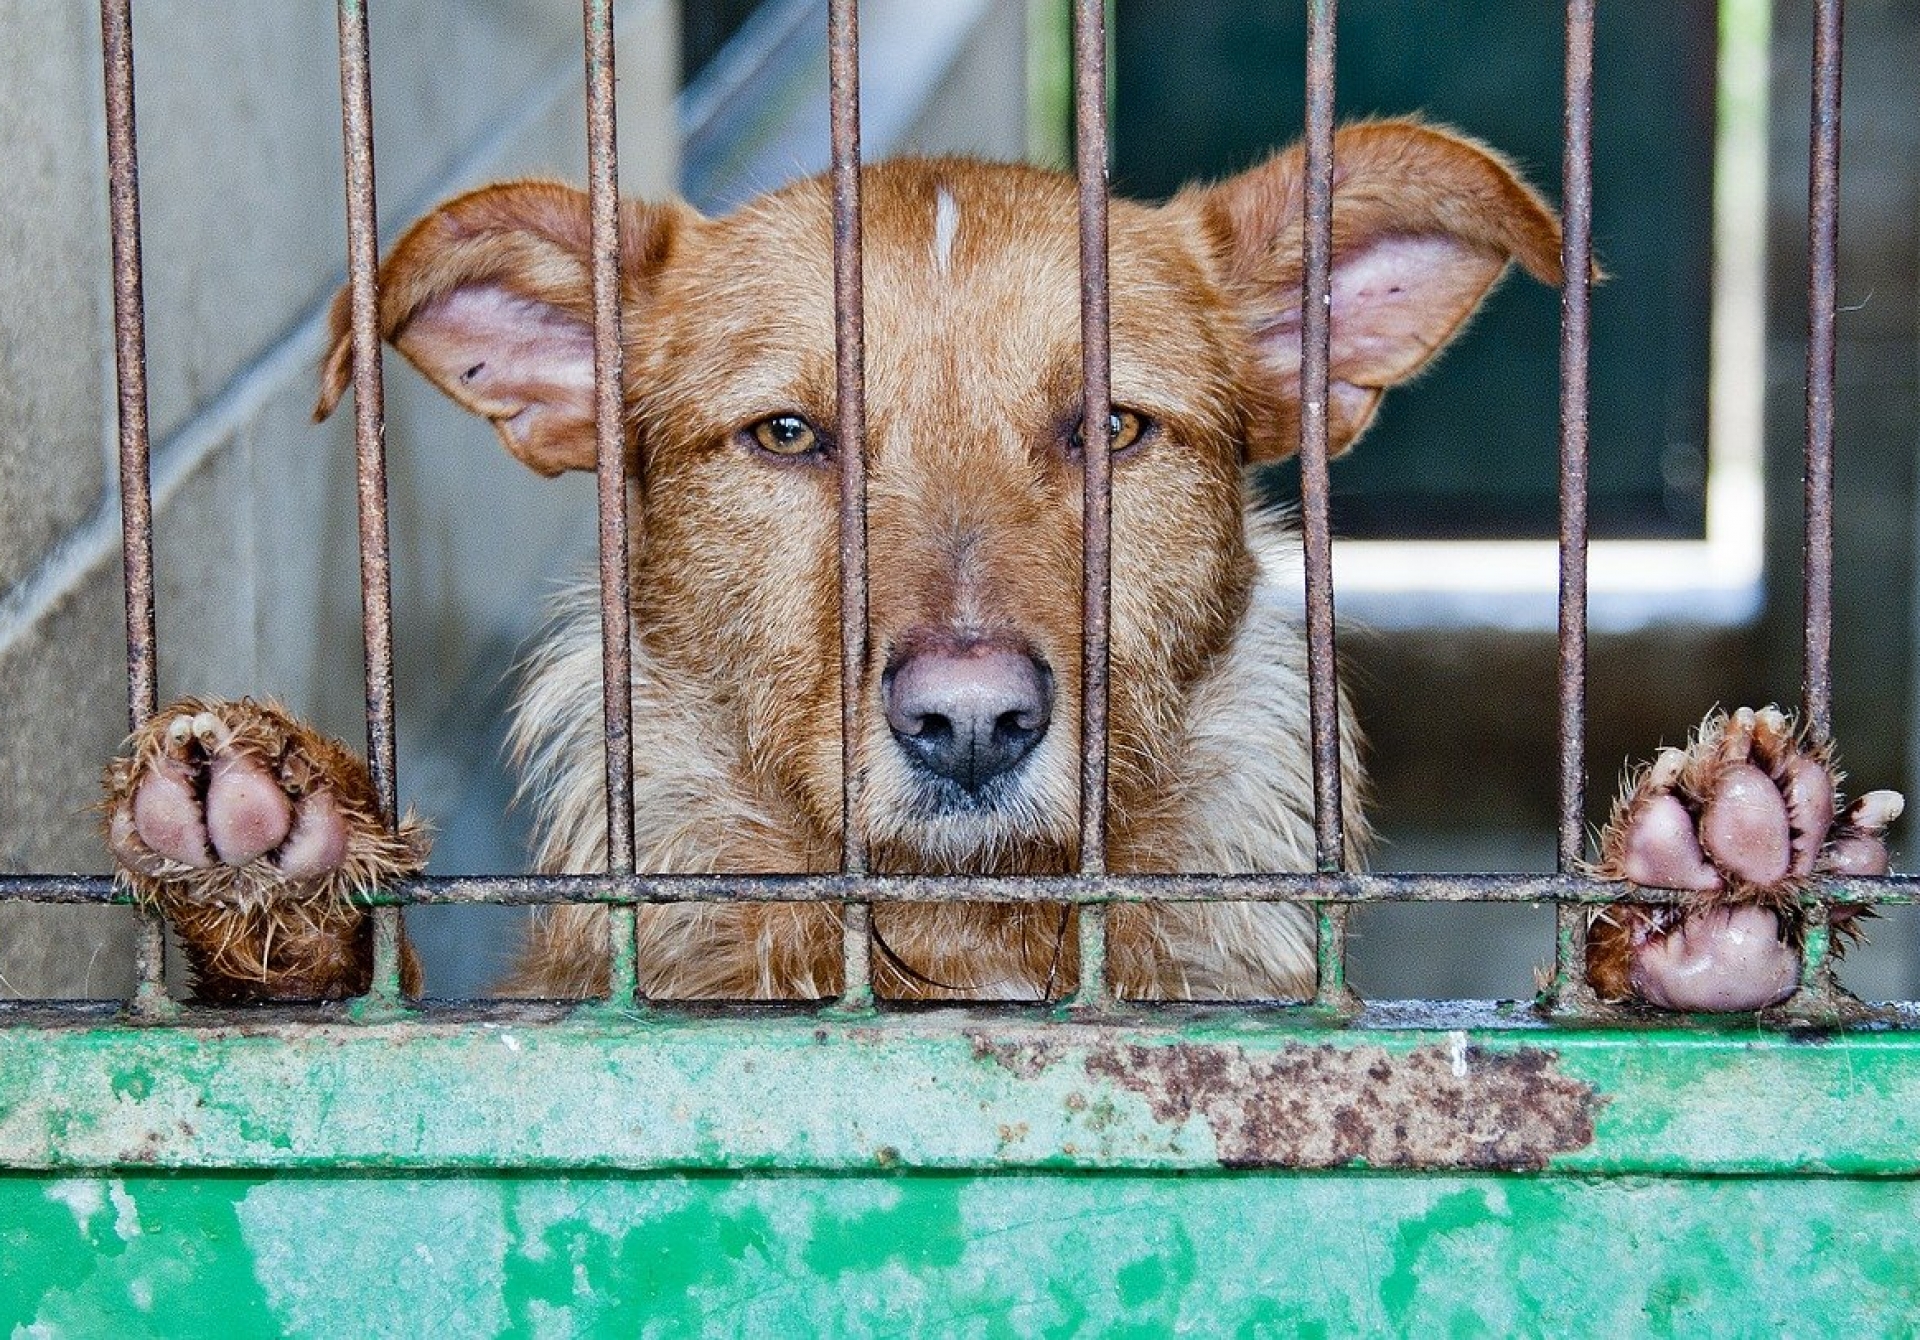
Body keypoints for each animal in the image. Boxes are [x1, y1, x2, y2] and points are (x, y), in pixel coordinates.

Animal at [101, 122, 1889, 998]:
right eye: (788, 436)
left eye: (1112, 428)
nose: (969, 725)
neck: (966, 948)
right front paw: (281, 866)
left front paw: (1691, 902)